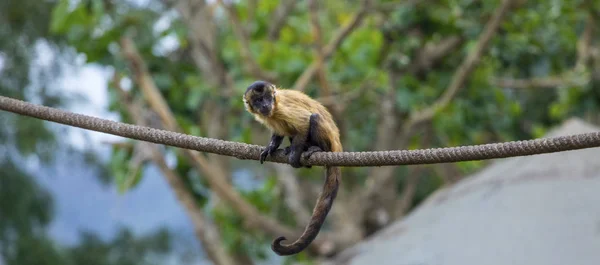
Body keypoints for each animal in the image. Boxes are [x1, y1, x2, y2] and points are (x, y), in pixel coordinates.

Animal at [241, 79, 340, 255]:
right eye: (259, 100)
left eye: (268, 98)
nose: (265, 104)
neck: (274, 108)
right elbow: (278, 133)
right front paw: (271, 147)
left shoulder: (282, 108)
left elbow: (303, 124)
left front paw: (294, 155)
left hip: (329, 142)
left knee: (314, 118)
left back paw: (316, 149)